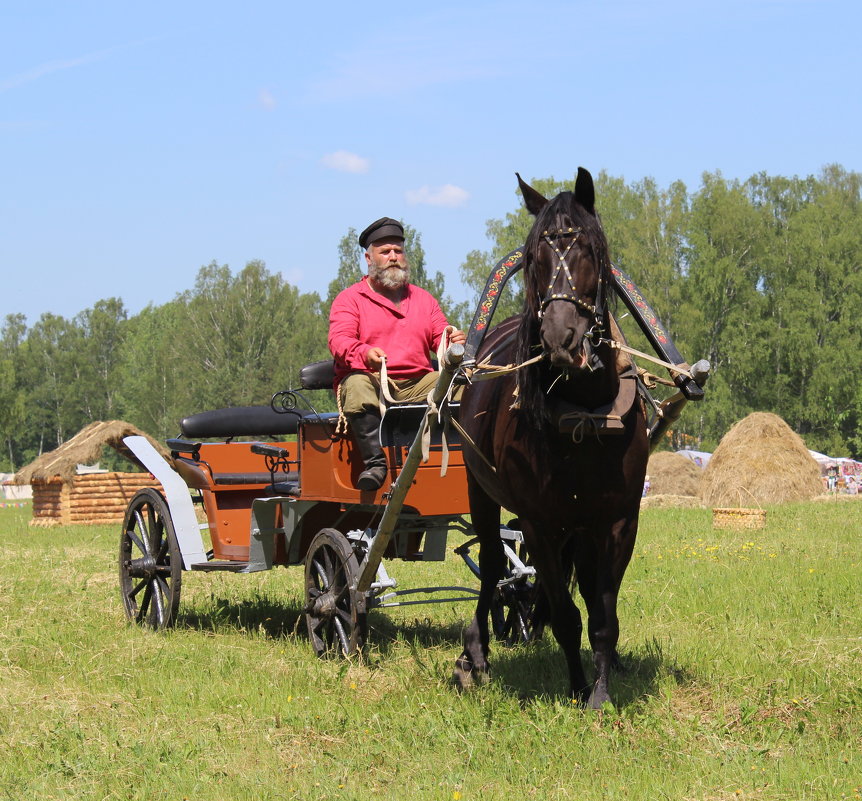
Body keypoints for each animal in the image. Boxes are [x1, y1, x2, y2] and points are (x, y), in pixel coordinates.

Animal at [460, 167, 648, 708]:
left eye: (588, 248)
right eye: (532, 258)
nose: (559, 337)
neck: (584, 415)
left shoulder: (618, 521)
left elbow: (603, 615)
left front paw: (601, 691)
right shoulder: (540, 523)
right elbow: (565, 614)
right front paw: (578, 686)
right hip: (481, 490)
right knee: (490, 561)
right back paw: (475, 650)